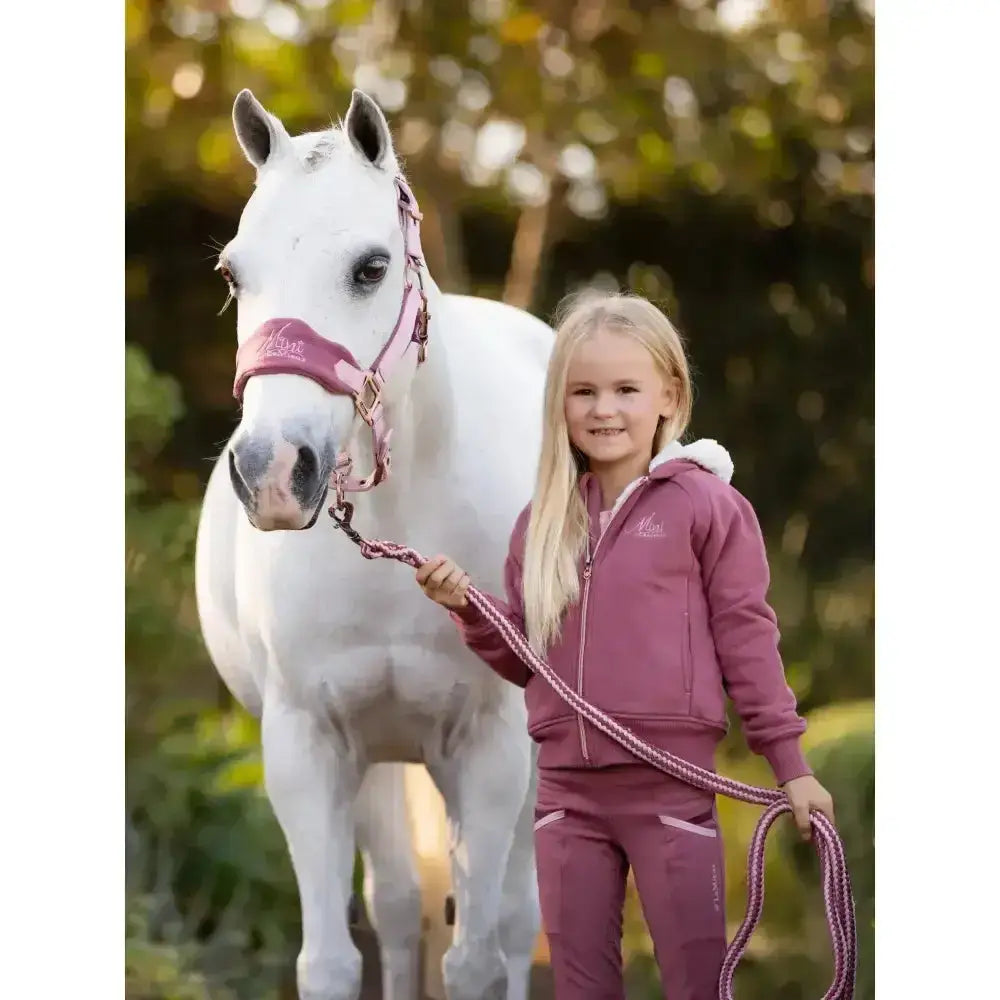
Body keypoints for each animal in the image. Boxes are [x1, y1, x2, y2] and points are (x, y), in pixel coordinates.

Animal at [194, 87, 553, 1000]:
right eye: (233, 274)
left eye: (370, 268)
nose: (272, 471)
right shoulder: (308, 746)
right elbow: (329, 959)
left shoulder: (491, 748)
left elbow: (478, 957)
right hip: (384, 761)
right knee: (395, 905)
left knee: (516, 920)